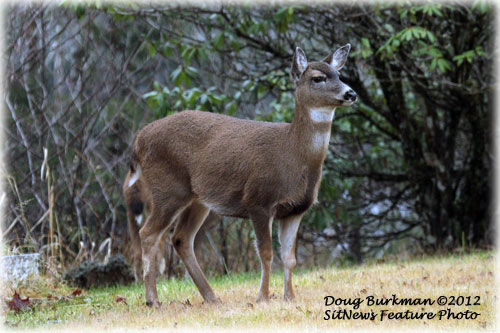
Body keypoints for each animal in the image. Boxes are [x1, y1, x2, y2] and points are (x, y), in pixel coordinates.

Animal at [128, 44, 356, 306]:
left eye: (339, 75)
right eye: (318, 78)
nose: (351, 93)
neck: (292, 154)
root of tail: (139, 140)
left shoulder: (296, 210)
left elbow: (290, 258)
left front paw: (290, 297)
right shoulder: (258, 200)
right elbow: (266, 253)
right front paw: (263, 297)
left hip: (198, 199)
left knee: (180, 238)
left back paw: (212, 298)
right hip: (168, 188)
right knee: (148, 233)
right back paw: (153, 300)